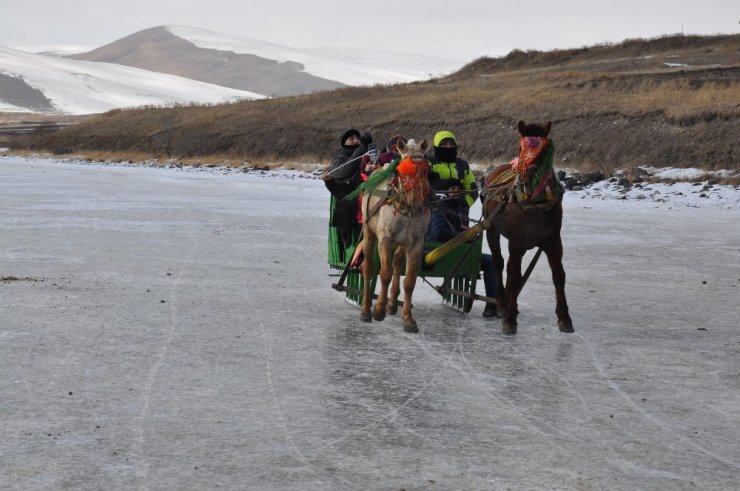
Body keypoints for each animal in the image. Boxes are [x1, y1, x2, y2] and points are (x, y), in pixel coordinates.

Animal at [362, 137, 430, 334]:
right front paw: (378, 310)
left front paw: (408, 319)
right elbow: (384, 274)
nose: (417, 203)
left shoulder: (416, 243)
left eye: (426, 169)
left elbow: (409, 281)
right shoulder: (385, 239)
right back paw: (366, 309)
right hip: (369, 232)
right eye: (401, 169)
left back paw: (391, 303)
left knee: (397, 262)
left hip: (401, 243)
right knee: (368, 267)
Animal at [482, 120, 576, 334]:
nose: (530, 175)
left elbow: (559, 275)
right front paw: (510, 319)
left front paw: (564, 317)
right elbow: (516, 276)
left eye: (545, 150)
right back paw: (503, 303)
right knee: (499, 263)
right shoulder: (516, 240)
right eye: (521, 148)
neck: (535, 204)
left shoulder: (553, 240)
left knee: (509, 267)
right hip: (491, 229)